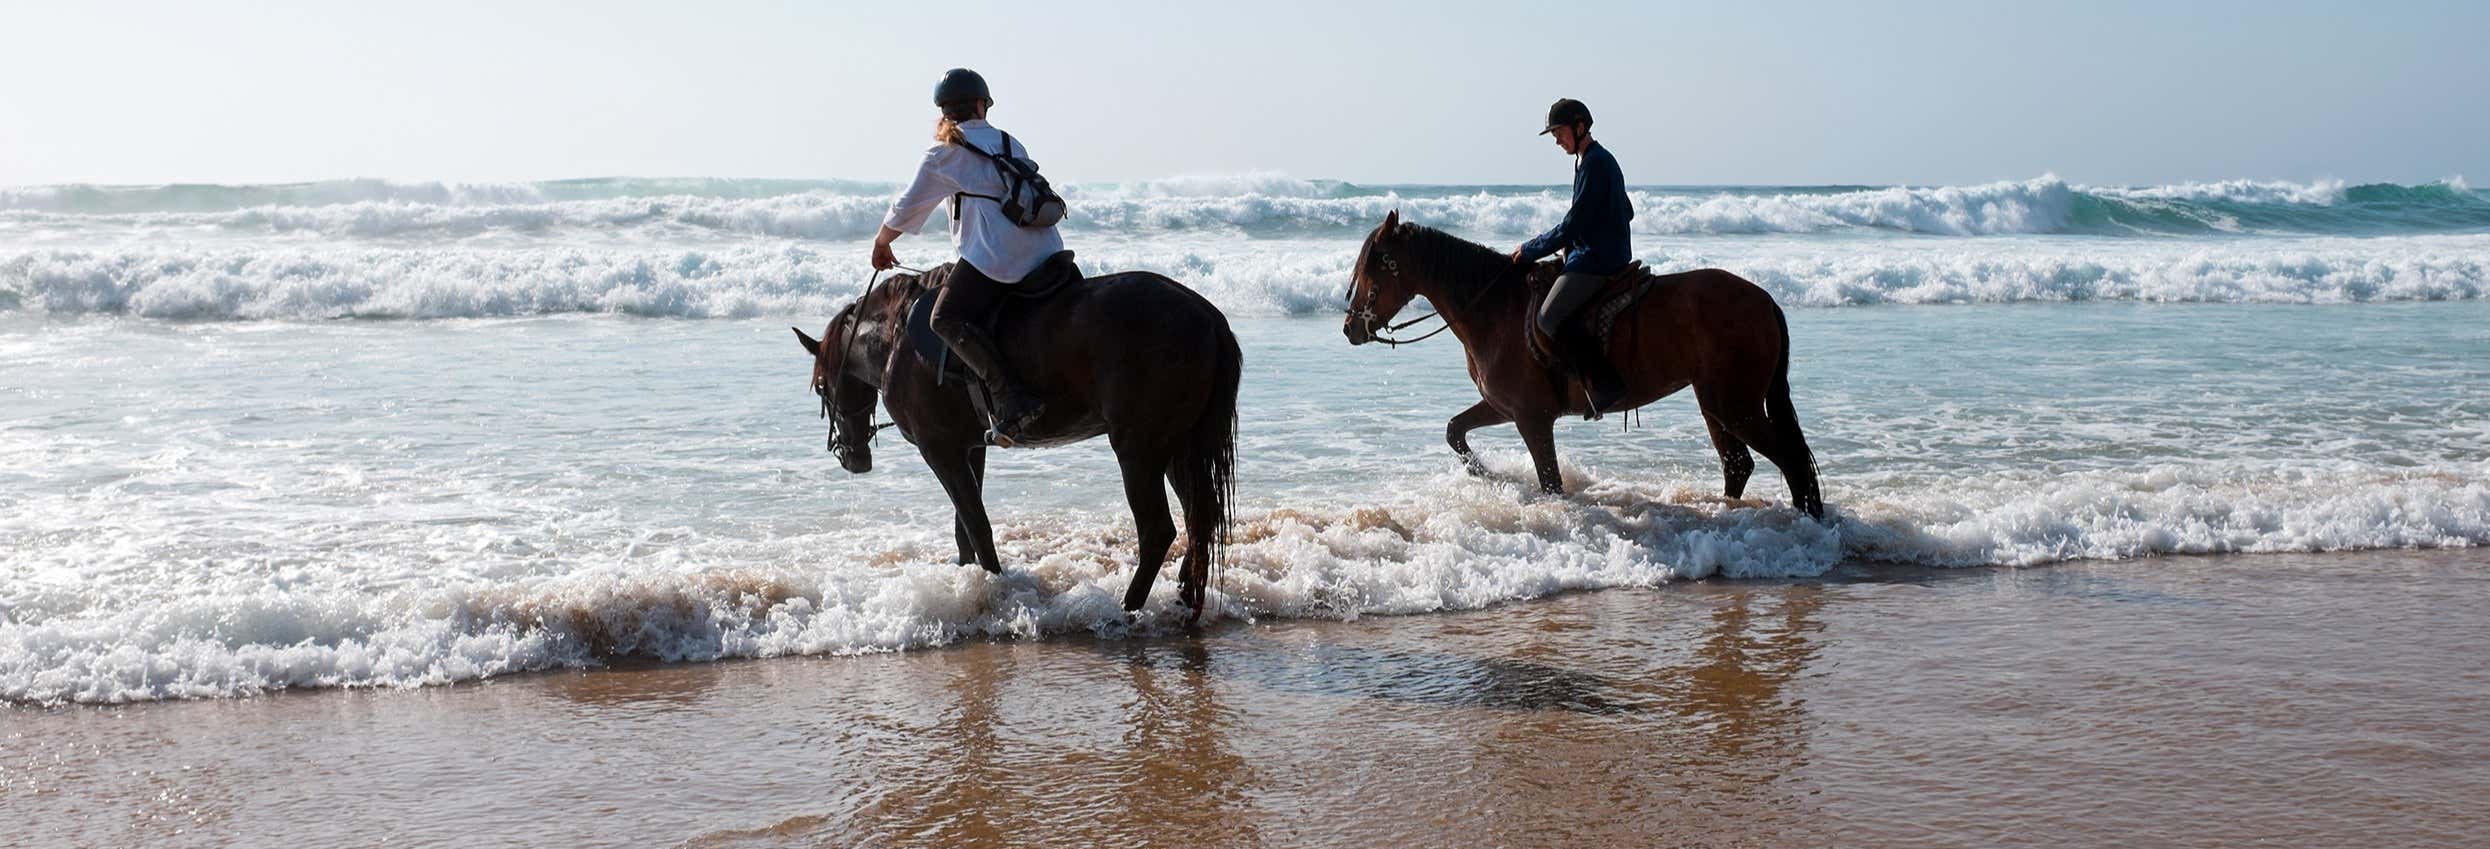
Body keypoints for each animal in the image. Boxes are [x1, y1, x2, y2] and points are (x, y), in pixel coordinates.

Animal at [793, 263, 1243, 618]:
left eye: (821, 387)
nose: (850, 457)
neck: (895, 339)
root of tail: (1207, 317)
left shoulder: (939, 449)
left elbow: (977, 524)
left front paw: (994, 589)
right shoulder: (969, 449)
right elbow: (964, 527)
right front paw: (969, 584)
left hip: (1139, 449)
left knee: (1158, 530)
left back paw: (1127, 610)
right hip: (1179, 446)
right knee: (1200, 516)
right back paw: (1185, 598)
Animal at [1341, 210, 1823, 518]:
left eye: (1372, 268)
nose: (1350, 328)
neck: (1495, 309)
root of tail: (1763, 299)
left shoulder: (1532, 418)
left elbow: (1551, 482)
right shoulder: (1503, 407)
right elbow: (1454, 431)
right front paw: (1490, 476)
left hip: (1735, 406)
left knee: (1791, 461)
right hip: (1715, 405)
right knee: (1740, 464)